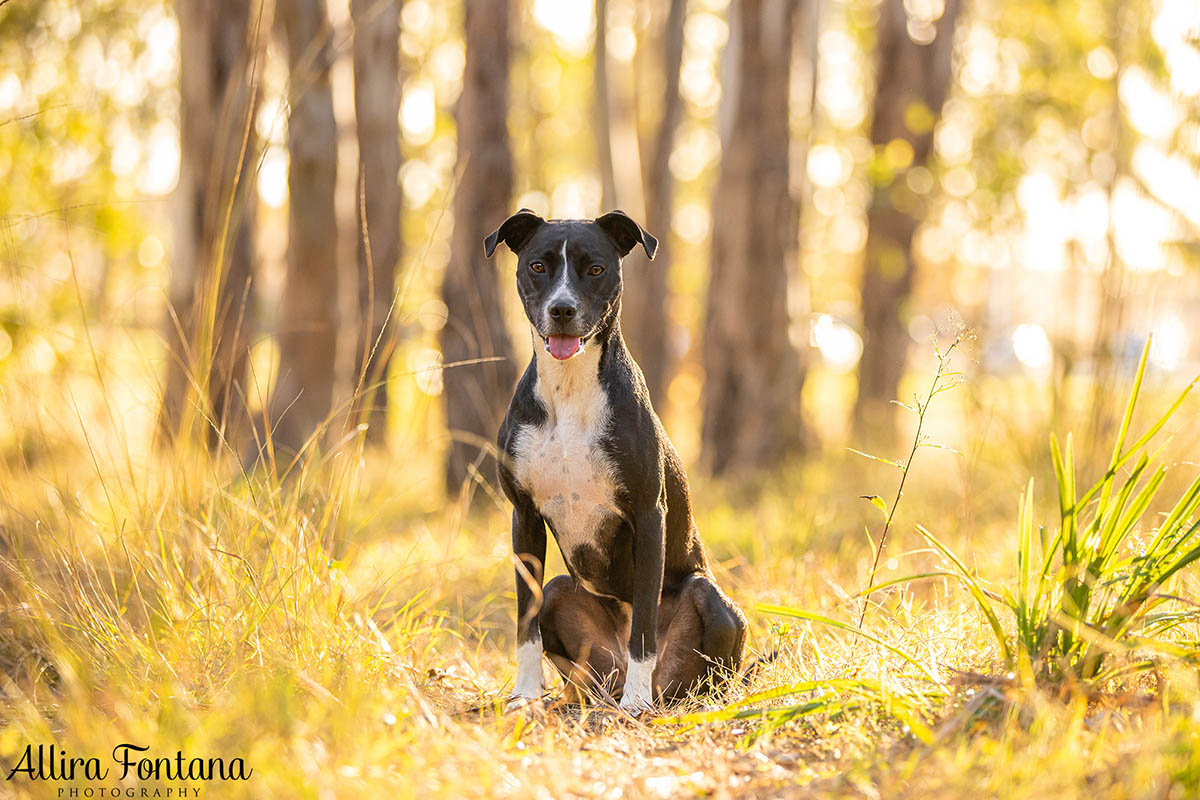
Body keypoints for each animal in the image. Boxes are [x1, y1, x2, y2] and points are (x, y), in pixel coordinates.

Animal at [482, 208, 744, 714]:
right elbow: (525, 624)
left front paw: (636, 701)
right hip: (562, 595)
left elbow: (643, 622)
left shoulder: (648, 515)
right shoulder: (524, 516)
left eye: (596, 268)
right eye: (538, 266)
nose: (562, 310)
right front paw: (525, 694)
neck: (570, 388)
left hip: (713, 603)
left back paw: (653, 696)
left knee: (706, 674)